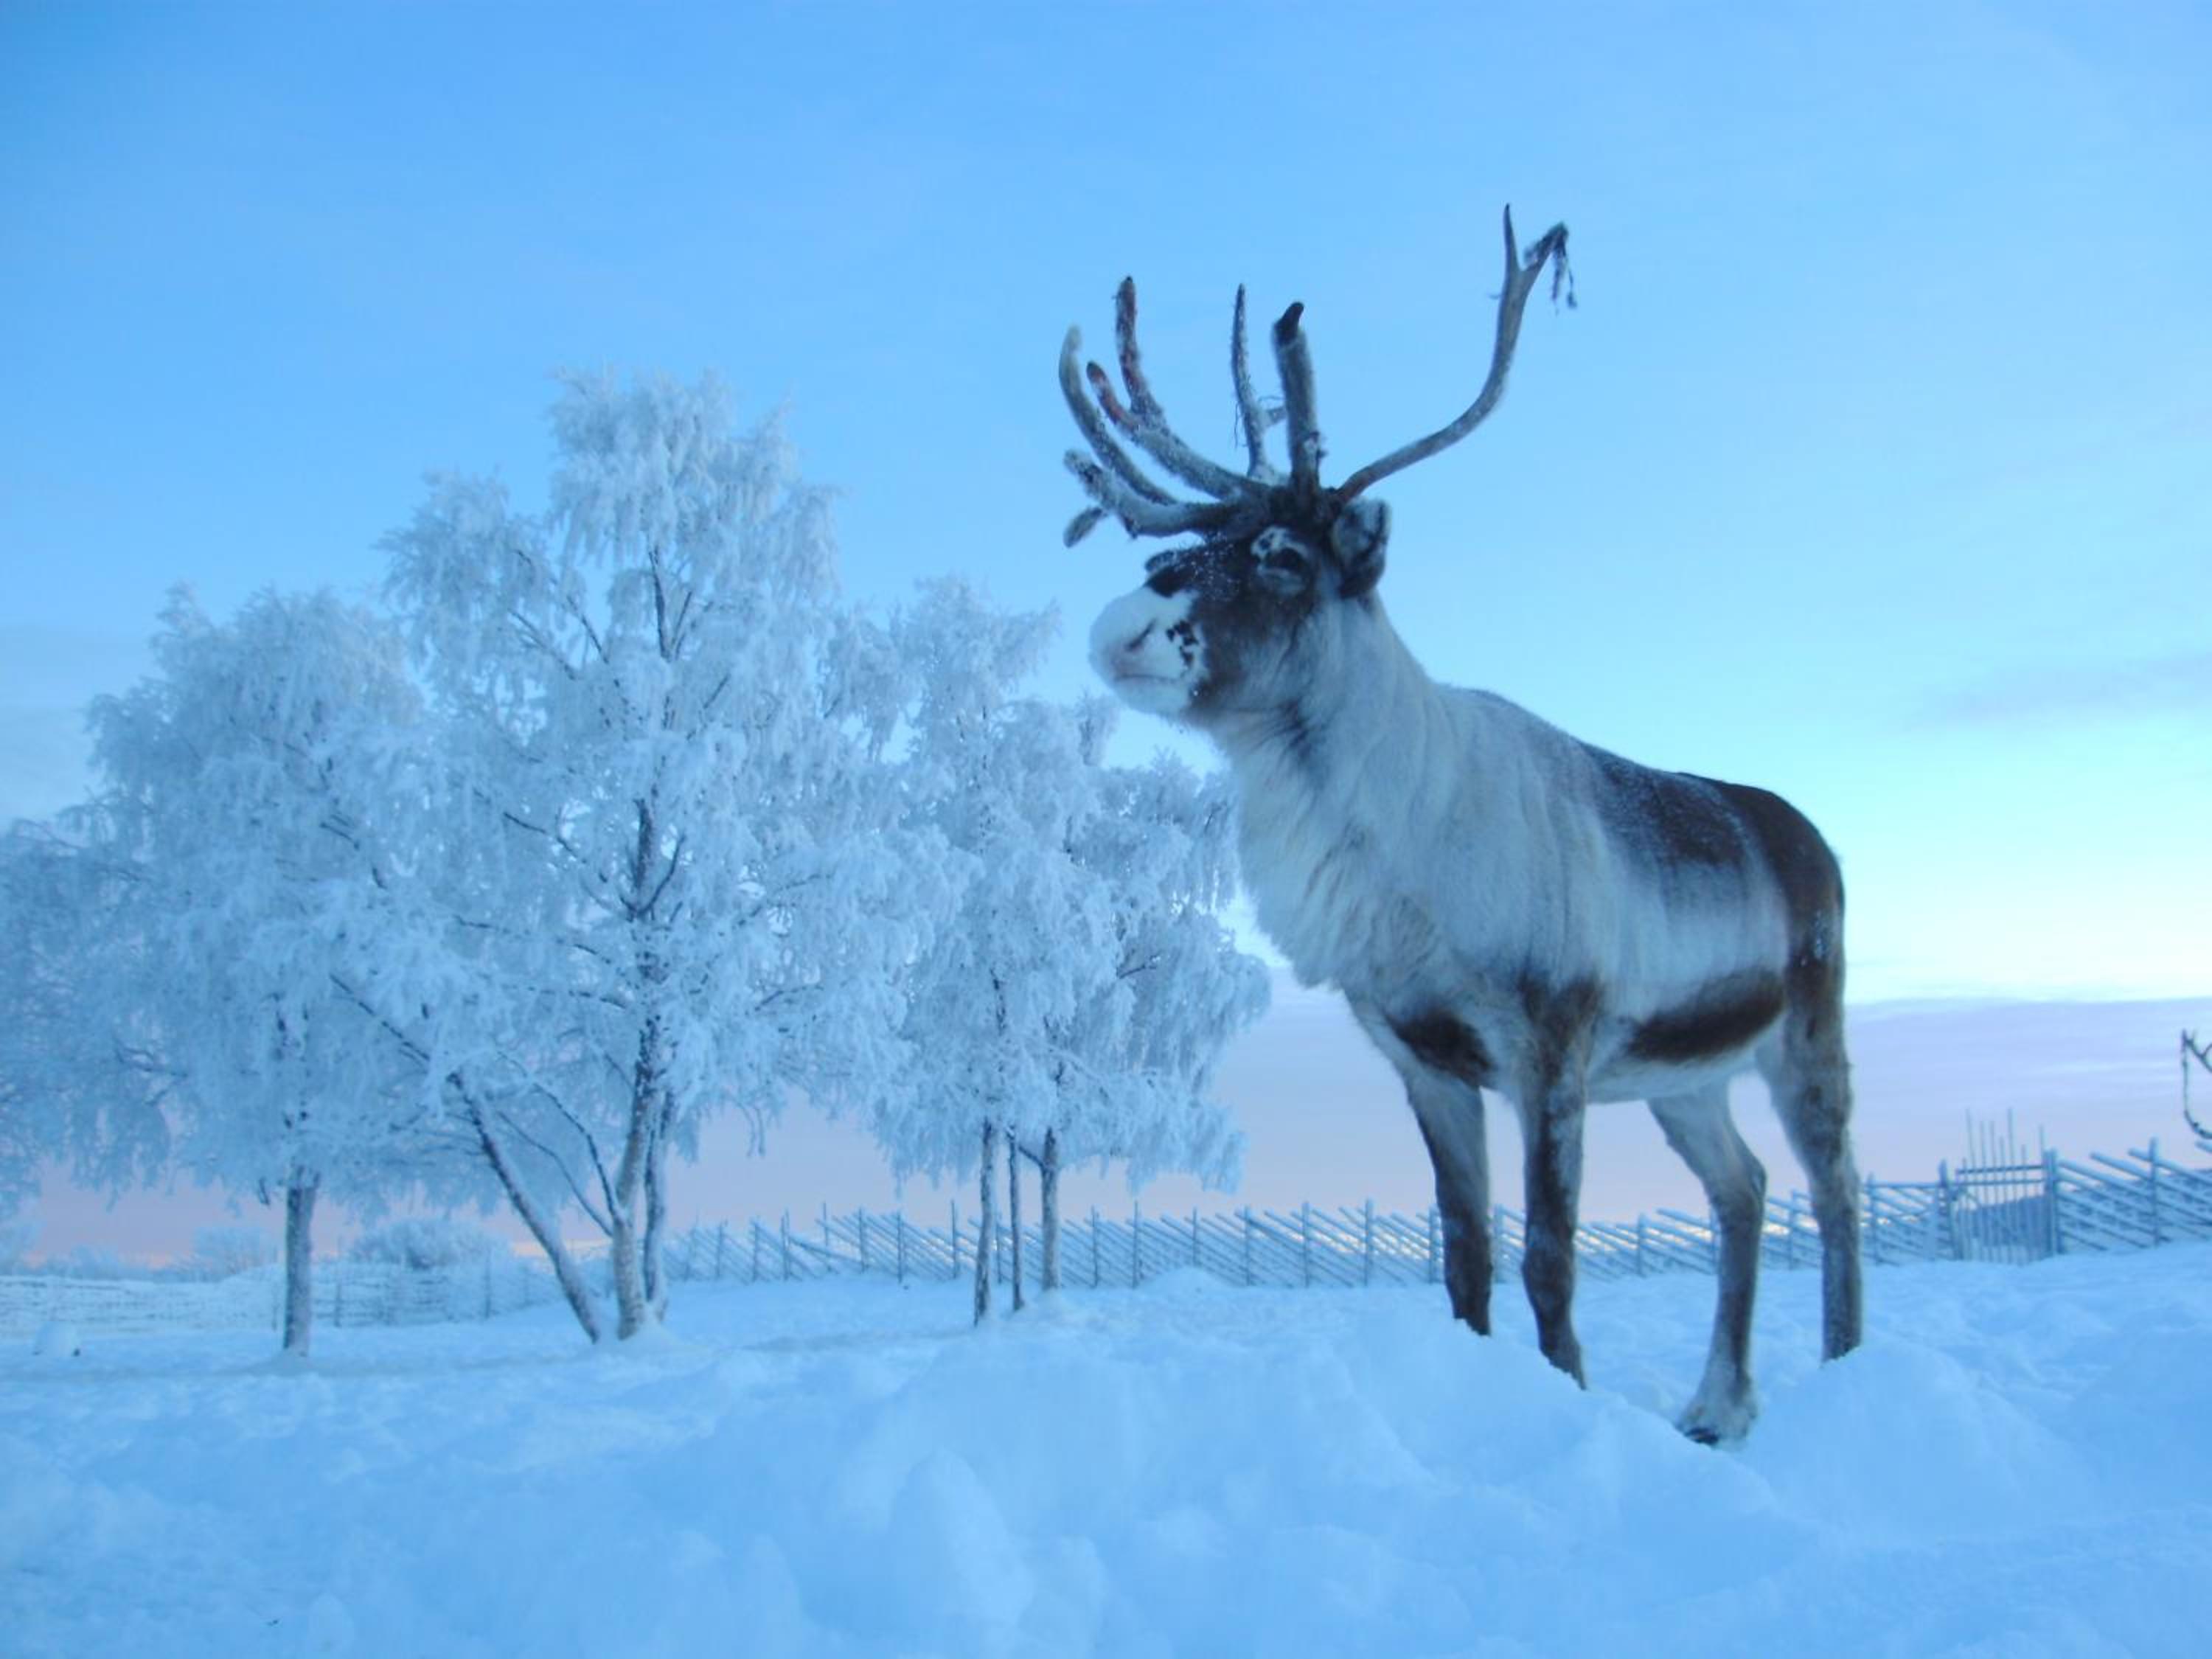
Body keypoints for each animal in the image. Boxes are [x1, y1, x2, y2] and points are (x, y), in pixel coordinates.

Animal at [1060, 208, 1860, 1443]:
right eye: (1175, 549)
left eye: (1285, 556)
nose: (1122, 626)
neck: (1408, 849)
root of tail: (1809, 838)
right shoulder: (1421, 1056)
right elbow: (1465, 1256)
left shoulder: (1550, 1043)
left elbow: (1548, 1258)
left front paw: (1568, 1398)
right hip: (1684, 1075)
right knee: (1745, 1188)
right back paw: (1715, 1406)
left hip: (1806, 1029)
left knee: (1833, 1191)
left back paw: (1846, 1378)